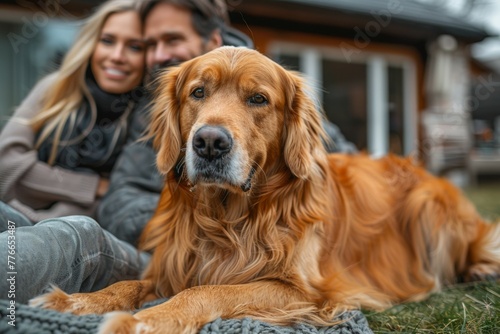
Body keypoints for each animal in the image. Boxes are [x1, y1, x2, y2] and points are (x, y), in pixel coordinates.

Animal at [32, 45, 500, 332]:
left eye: (258, 99)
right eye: (197, 92)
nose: (209, 142)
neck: (227, 218)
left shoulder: (302, 290)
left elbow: (208, 290)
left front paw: (144, 320)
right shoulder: (172, 266)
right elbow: (127, 285)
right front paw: (76, 302)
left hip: (428, 206)